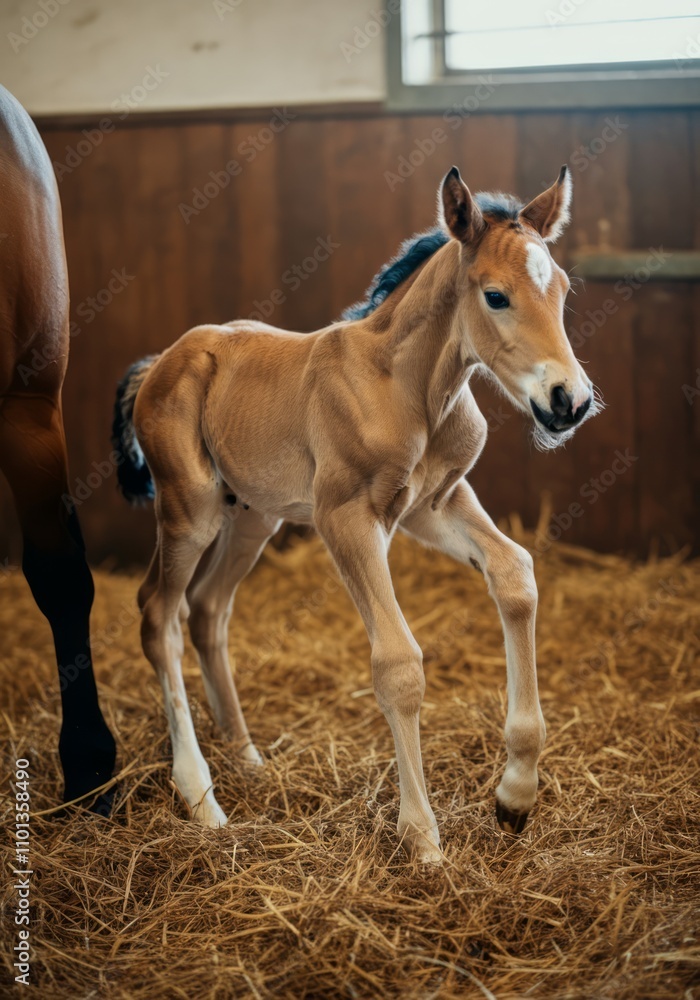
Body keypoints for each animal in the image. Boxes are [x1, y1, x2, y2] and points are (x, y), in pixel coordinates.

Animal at [112, 164, 599, 862]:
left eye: (560, 289)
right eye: (496, 296)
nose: (569, 401)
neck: (406, 387)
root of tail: (159, 364)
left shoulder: (434, 504)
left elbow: (516, 574)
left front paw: (515, 796)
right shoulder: (346, 518)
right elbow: (397, 662)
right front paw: (422, 839)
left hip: (253, 517)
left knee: (206, 609)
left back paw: (247, 757)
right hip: (190, 509)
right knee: (159, 614)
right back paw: (201, 796)